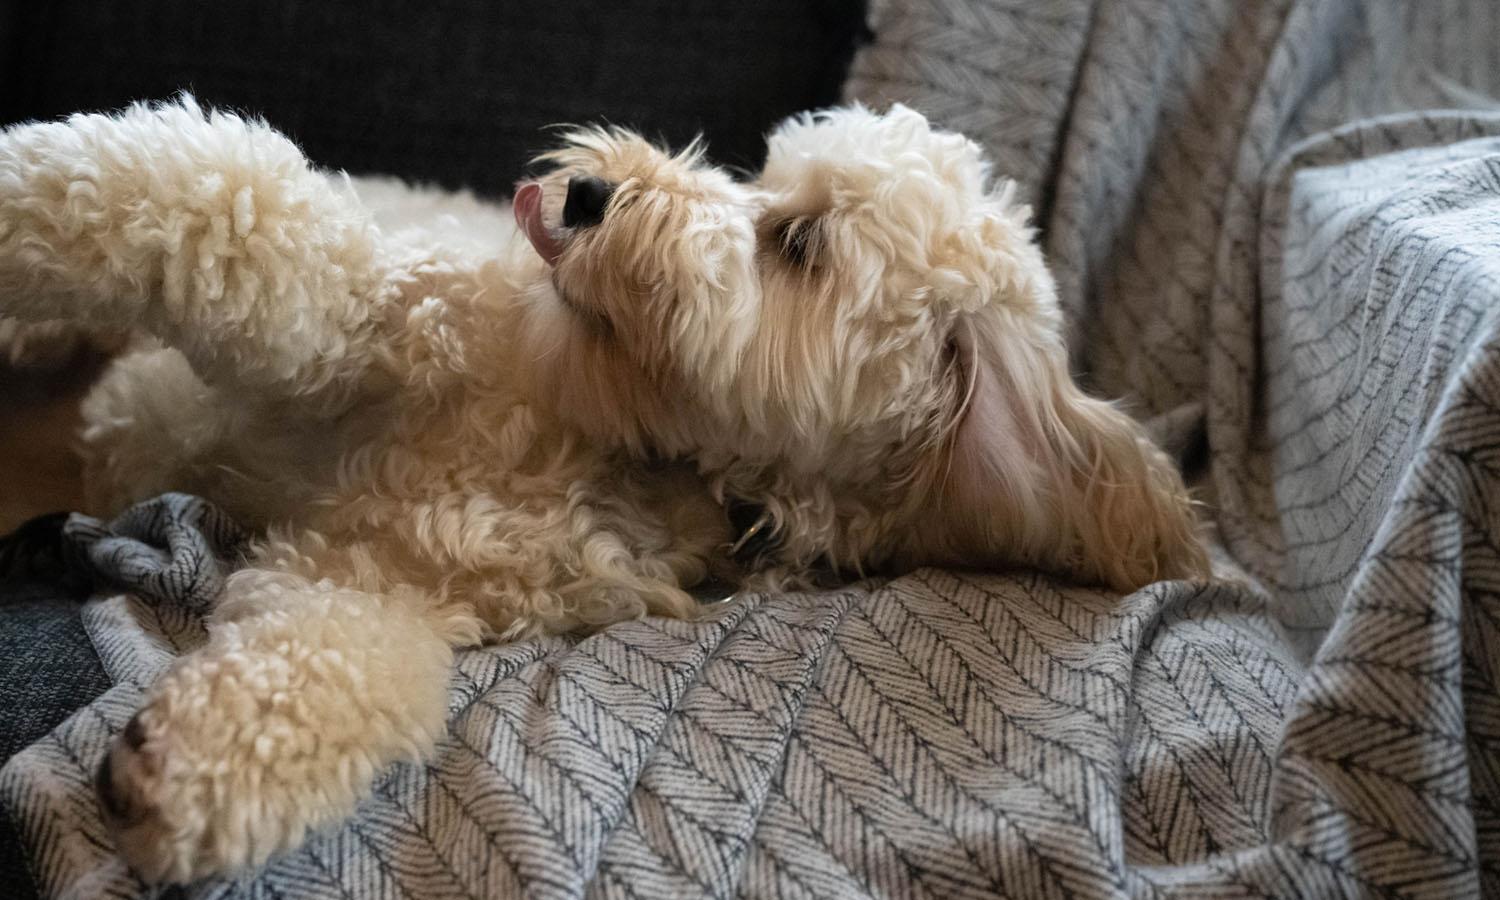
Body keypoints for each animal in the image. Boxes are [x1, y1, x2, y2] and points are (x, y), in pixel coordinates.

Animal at [0, 98, 1206, 876]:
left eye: (798, 243)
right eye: (762, 175)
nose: (585, 190)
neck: (621, 446)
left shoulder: (388, 578)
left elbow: (338, 665)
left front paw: (192, 773)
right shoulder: (358, 311)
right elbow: (217, 206)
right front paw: (19, 194)